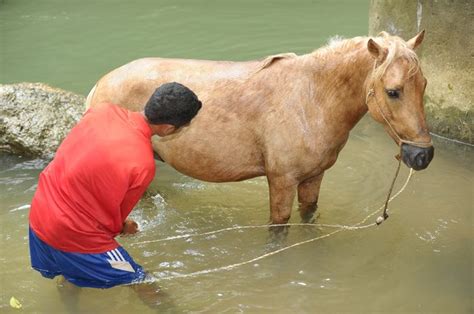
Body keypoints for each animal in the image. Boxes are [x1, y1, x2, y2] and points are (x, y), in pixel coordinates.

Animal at [84, 31, 434, 223]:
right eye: (393, 91)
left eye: (424, 85)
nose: (423, 156)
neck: (311, 97)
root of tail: (101, 84)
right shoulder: (281, 181)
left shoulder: (313, 178)